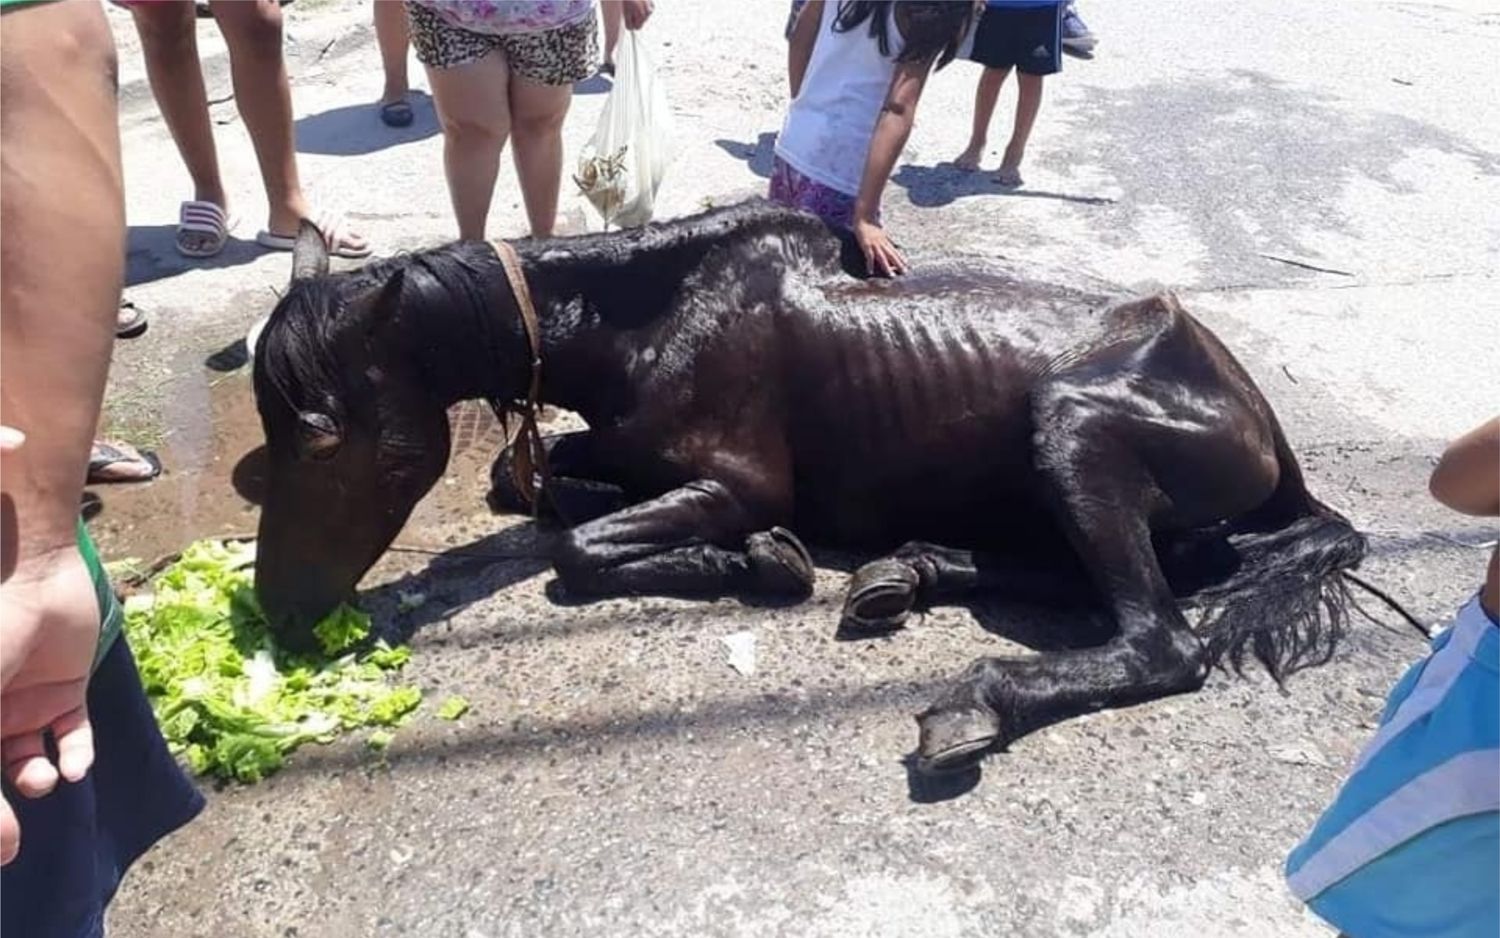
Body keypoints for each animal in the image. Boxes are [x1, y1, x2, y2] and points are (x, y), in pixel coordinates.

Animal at [255, 201, 1374, 774]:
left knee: (1161, 636)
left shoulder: (742, 480)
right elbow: (525, 485)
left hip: (1074, 429)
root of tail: (1262, 425)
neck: (651, 318)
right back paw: (906, 571)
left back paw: (971, 696)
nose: (280, 611)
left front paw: (758, 560)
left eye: (326, 443)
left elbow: (575, 548)